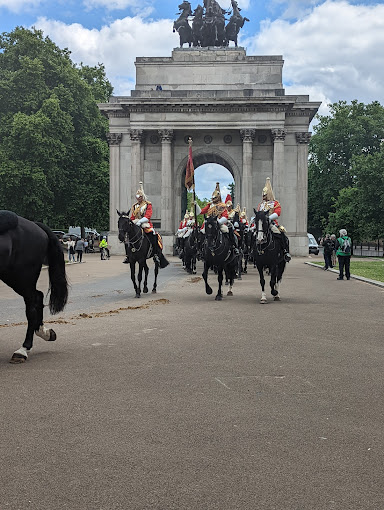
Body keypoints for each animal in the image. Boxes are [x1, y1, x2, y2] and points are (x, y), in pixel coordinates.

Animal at [0, 210, 68, 362]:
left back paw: (24, 349)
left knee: (32, 304)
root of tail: (35, 225)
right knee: (38, 297)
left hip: (21, 278)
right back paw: (42, 331)